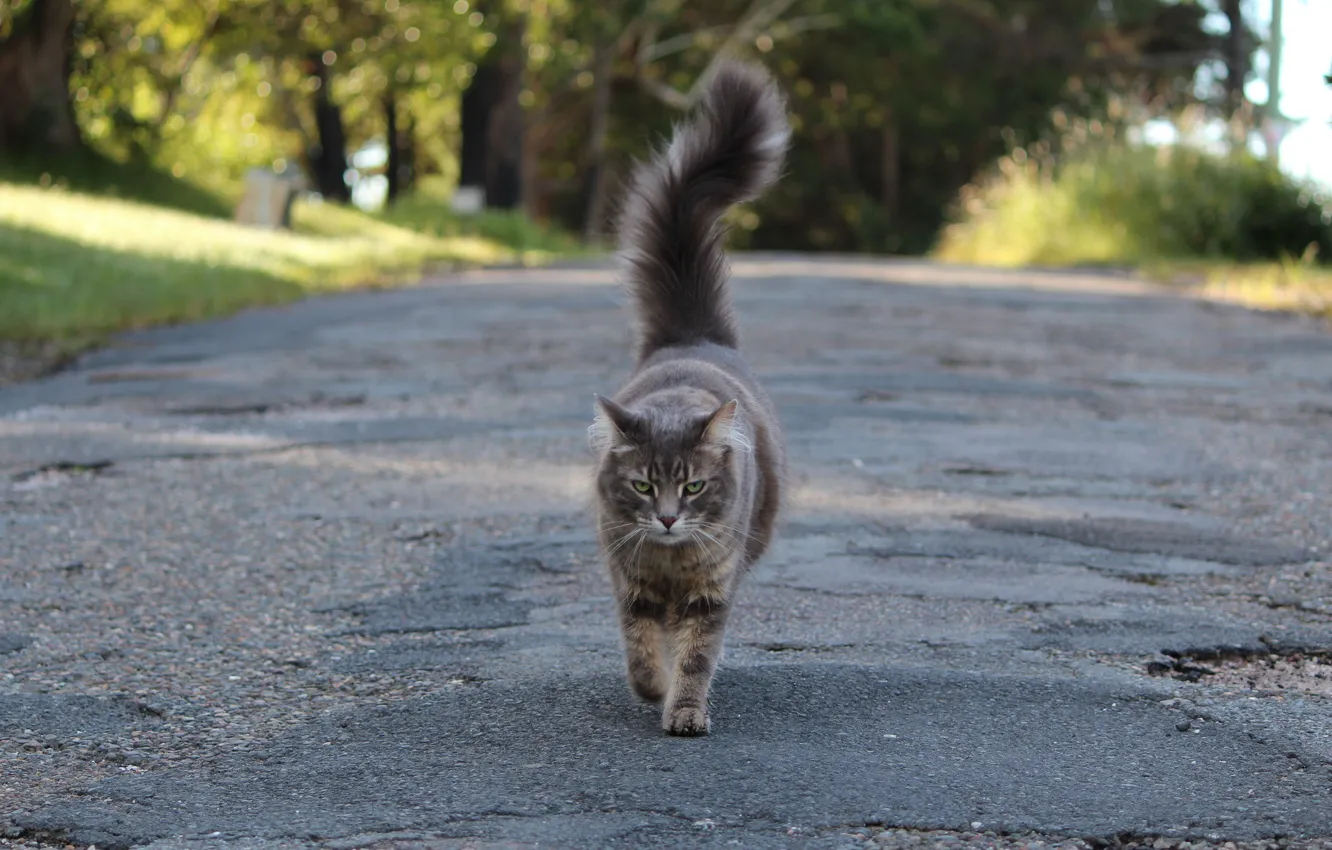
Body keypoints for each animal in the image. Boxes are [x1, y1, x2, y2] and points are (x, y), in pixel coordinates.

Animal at [586, 61, 783, 740]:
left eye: (693, 487)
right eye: (645, 487)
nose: (669, 519)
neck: (671, 562)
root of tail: (692, 337)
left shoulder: (711, 591)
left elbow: (696, 656)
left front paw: (686, 711)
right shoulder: (630, 580)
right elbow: (641, 647)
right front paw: (653, 689)